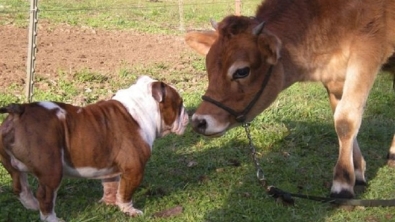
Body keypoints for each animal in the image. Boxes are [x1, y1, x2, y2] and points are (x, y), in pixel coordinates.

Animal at [185, 0, 395, 199]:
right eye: (208, 65)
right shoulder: (333, 78)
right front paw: (357, 170)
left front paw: (342, 183)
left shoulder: (367, 52)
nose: (199, 122)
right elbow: (341, 115)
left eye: (242, 71)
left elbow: (346, 120)